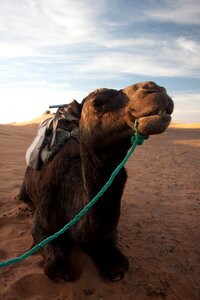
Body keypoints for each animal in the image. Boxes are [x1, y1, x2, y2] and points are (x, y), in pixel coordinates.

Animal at [19, 81, 173, 282]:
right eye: (96, 103)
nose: (155, 88)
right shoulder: (41, 225)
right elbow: (56, 267)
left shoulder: (108, 235)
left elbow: (118, 266)